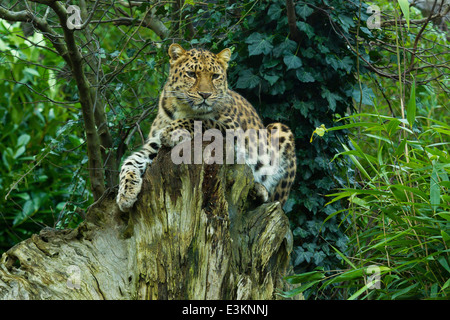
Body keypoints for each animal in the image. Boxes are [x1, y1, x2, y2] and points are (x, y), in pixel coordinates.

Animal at [117, 43, 296, 212]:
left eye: (215, 76)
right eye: (191, 74)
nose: (205, 95)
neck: (184, 109)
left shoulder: (236, 131)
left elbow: (202, 121)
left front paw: (172, 131)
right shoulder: (153, 145)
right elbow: (131, 161)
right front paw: (125, 194)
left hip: (280, 129)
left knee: (276, 198)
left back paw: (260, 190)